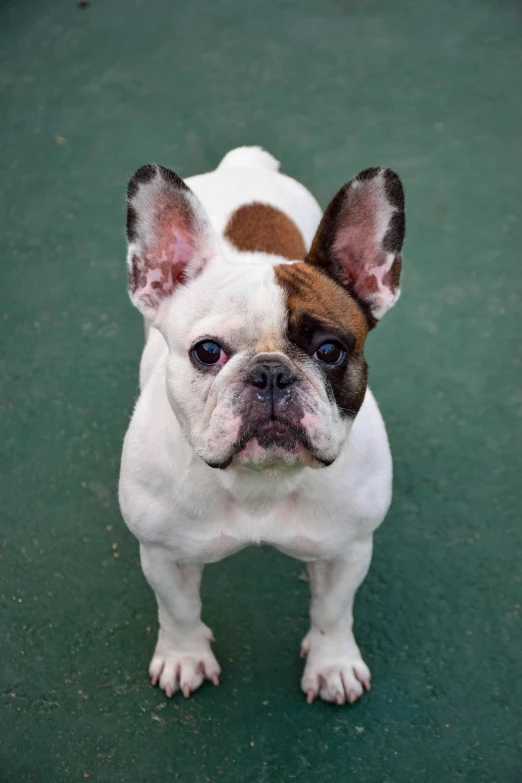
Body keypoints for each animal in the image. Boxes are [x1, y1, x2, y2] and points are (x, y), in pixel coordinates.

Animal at [118, 145, 402, 704]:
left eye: (330, 350)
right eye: (207, 352)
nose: (271, 372)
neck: (261, 481)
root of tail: (243, 163)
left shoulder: (348, 549)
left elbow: (333, 611)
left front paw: (333, 664)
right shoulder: (163, 554)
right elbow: (178, 611)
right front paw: (184, 657)